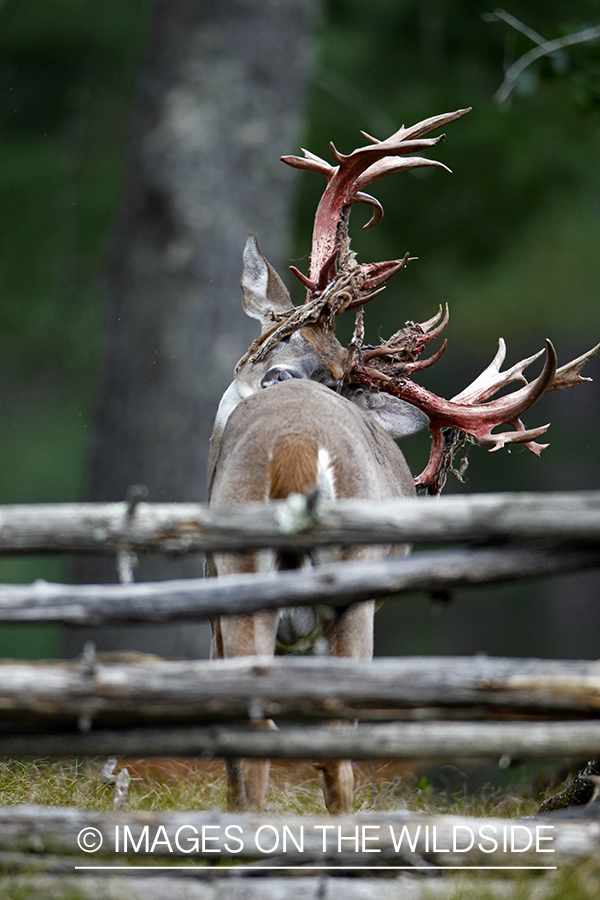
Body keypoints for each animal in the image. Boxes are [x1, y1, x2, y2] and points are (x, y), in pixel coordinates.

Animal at [206, 109, 600, 812]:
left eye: (333, 373)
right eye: (283, 334)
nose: (279, 376)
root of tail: (296, 448)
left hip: (282, 578)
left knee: (306, 745)